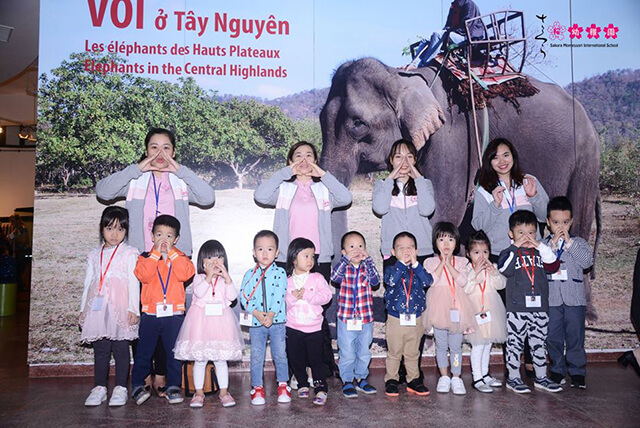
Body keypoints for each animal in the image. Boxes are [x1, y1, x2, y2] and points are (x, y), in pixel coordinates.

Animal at [319, 57, 601, 320]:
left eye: (358, 124)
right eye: (321, 120)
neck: (402, 77)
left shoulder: (453, 143)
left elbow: (441, 216)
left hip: (586, 160)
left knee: (577, 224)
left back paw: (587, 313)